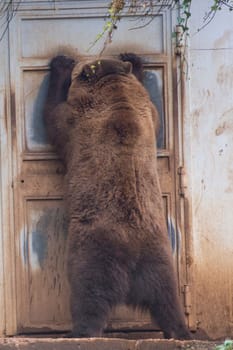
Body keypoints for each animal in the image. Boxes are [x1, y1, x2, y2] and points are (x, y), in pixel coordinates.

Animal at [43, 52, 191, 340]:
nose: (73, 62)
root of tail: (132, 259)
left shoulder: (77, 121)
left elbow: (54, 118)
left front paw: (60, 64)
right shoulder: (146, 114)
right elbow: (157, 117)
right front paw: (134, 59)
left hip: (94, 248)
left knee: (89, 294)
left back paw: (78, 332)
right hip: (160, 254)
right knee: (167, 297)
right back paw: (180, 330)